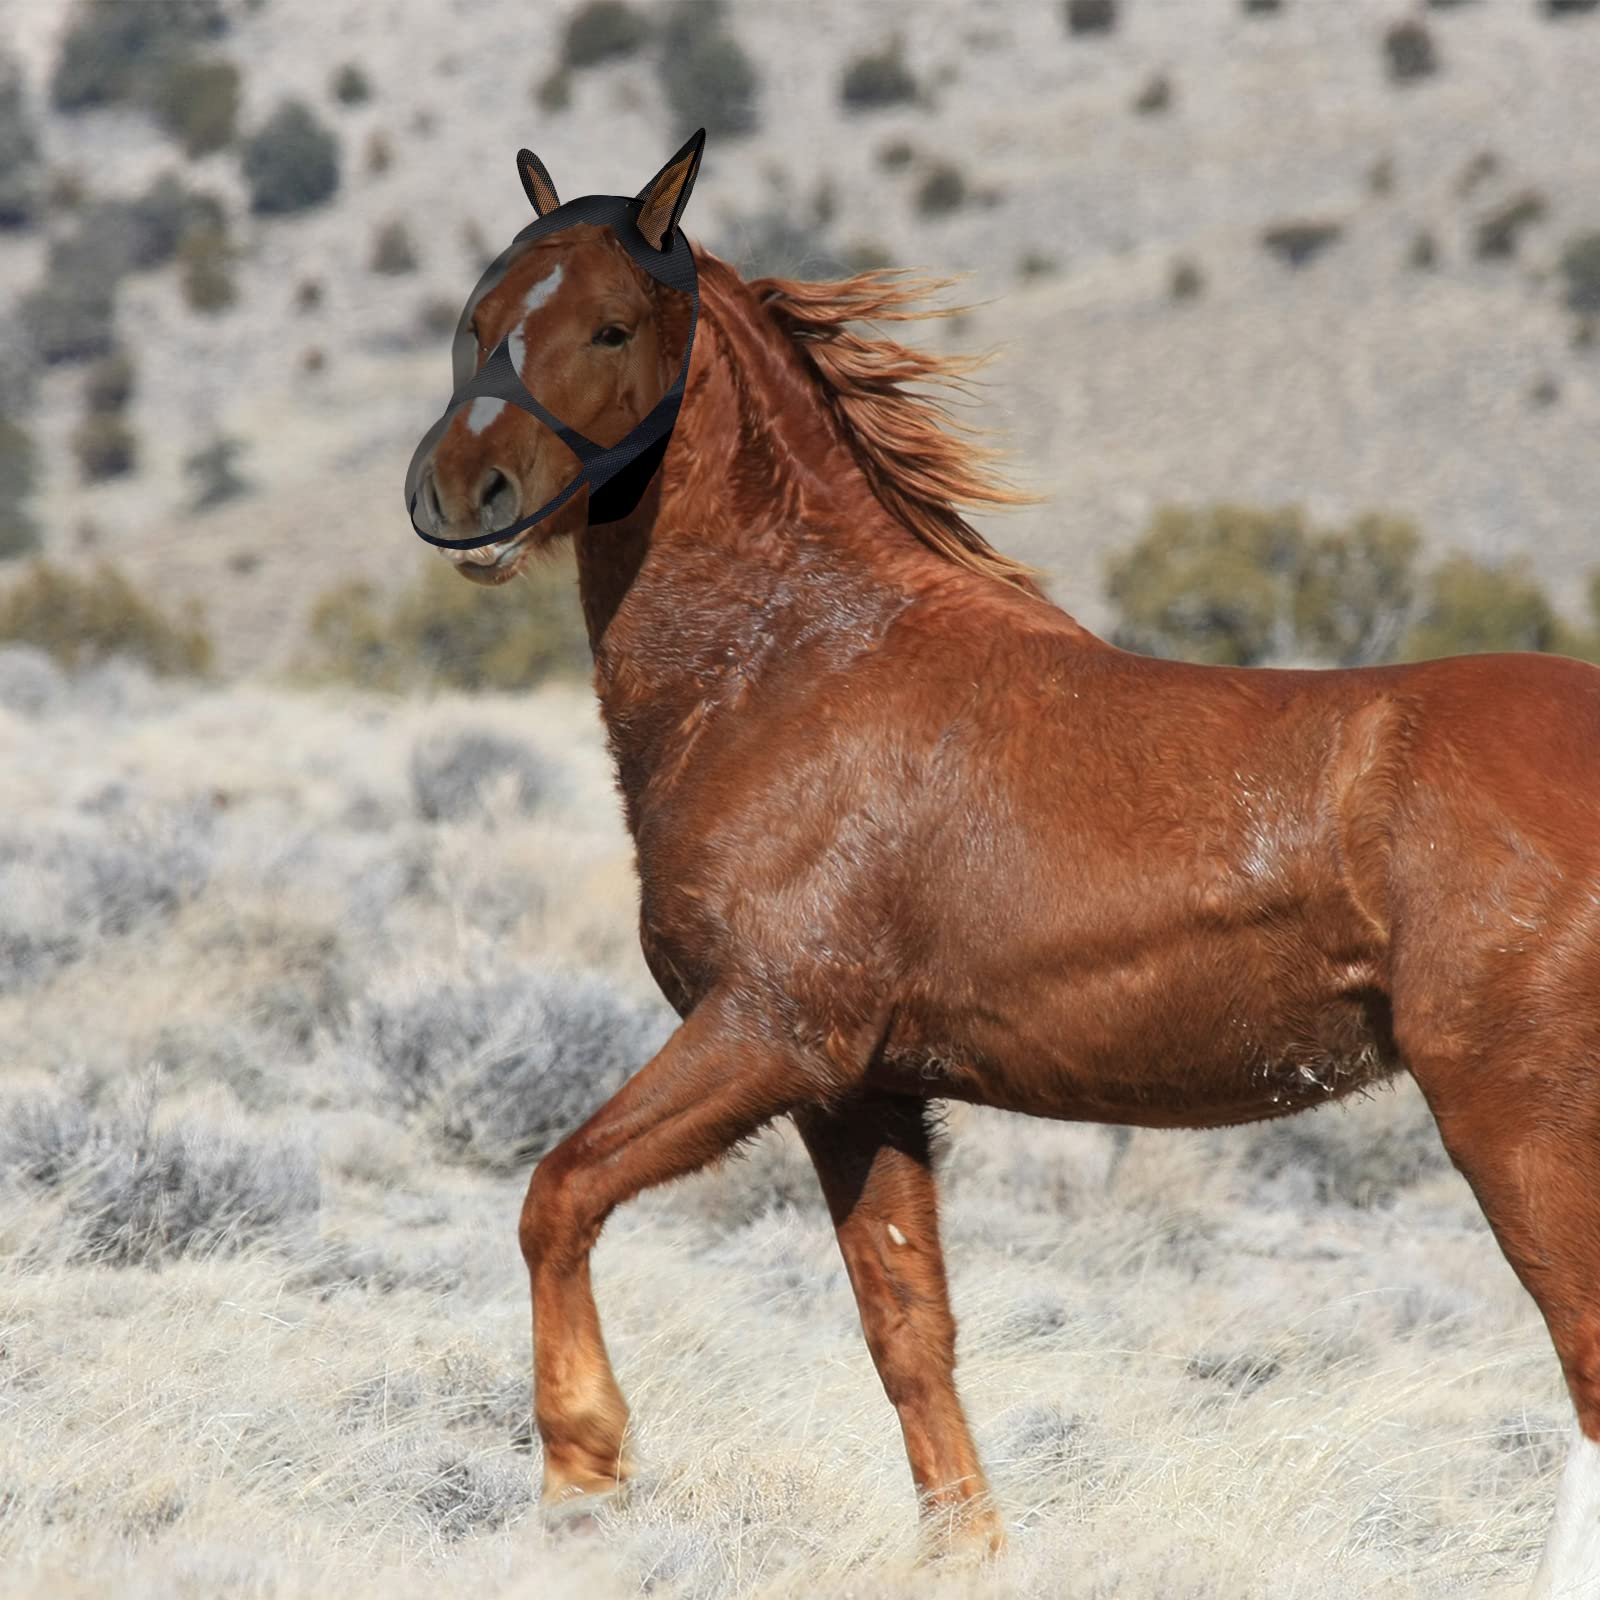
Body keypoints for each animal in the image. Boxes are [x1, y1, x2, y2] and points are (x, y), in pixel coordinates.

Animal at [408, 133, 1600, 1598]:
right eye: (475, 317)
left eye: (611, 325)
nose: (460, 495)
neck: (797, 667)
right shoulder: (859, 1090)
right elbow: (907, 1330)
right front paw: (963, 1549)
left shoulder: (770, 1032)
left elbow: (558, 1189)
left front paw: (582, 1480)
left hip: (1513, 1107)